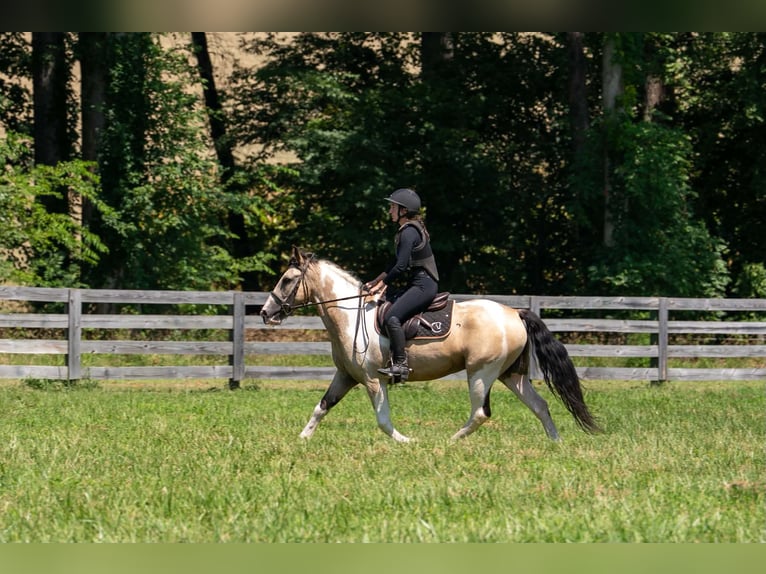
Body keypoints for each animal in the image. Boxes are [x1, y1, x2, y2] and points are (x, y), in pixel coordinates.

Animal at [260, 247, 601, 443]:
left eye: (287, 281)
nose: (266, 313)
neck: (350, 315)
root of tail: (515, 313)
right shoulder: (345, 376)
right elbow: (322, 407)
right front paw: (302, 439)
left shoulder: (372, 379)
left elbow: (383, 420)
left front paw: (407, 442)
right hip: (510, 375)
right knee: (540, 405)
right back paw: (556, 443)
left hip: (481, 373)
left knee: (481, 413)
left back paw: (451, 441)